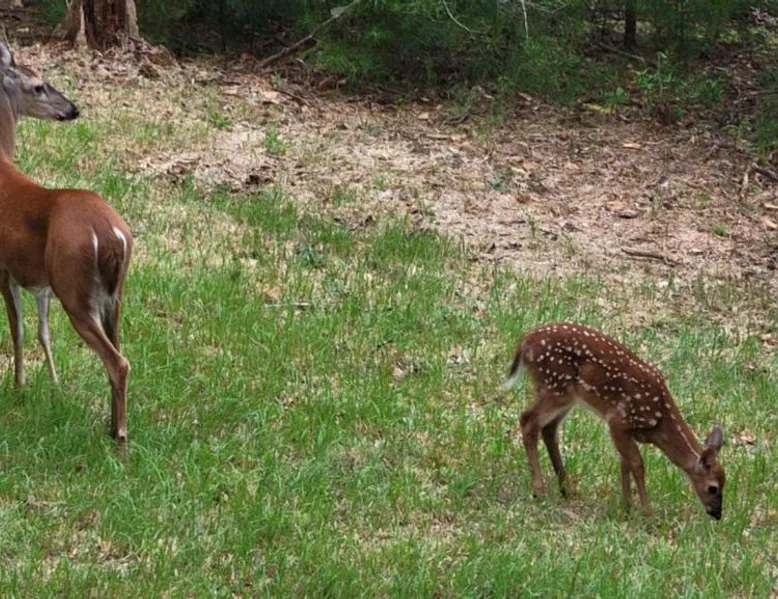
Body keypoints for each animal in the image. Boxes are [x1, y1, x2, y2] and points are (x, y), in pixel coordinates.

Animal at [0, 43, 133, 443]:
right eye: (39, 86)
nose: (72, 108)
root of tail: (112, 234)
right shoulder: (37, 280)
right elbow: (40, 330)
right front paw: (51, 384)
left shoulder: (3, 268)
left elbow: (17, 329)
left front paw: (19, 387)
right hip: (112, 295)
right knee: (119, 348)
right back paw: (110, 424)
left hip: (74, 287)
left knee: (118, 361)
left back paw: (119, 436)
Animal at [503, 322, 726, 519]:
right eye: (712, 488)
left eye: (724, 483)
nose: (717, 514)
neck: (659, 421)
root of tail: (525, 341)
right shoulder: (619, 421)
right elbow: (637, 463)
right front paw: (648, 515)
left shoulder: (627, 431)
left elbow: (624, 463)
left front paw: (626, 508)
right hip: (556, 386)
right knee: (527, 420)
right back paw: (540, 490)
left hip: (565, 395)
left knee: (548, 429)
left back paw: (567, 489)